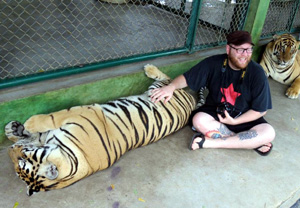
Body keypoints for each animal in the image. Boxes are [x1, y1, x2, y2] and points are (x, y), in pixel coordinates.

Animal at [5, 64, 197, 196]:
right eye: (16, 168)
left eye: (22, 158)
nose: (10, 151)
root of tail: (192, 99)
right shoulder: (48, 137)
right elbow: (34, 134)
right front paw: (13, 129)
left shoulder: (81, 113)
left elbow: (51, 118)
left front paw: (28, 123)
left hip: (157, 90)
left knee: (168, 79)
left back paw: (149, 68)